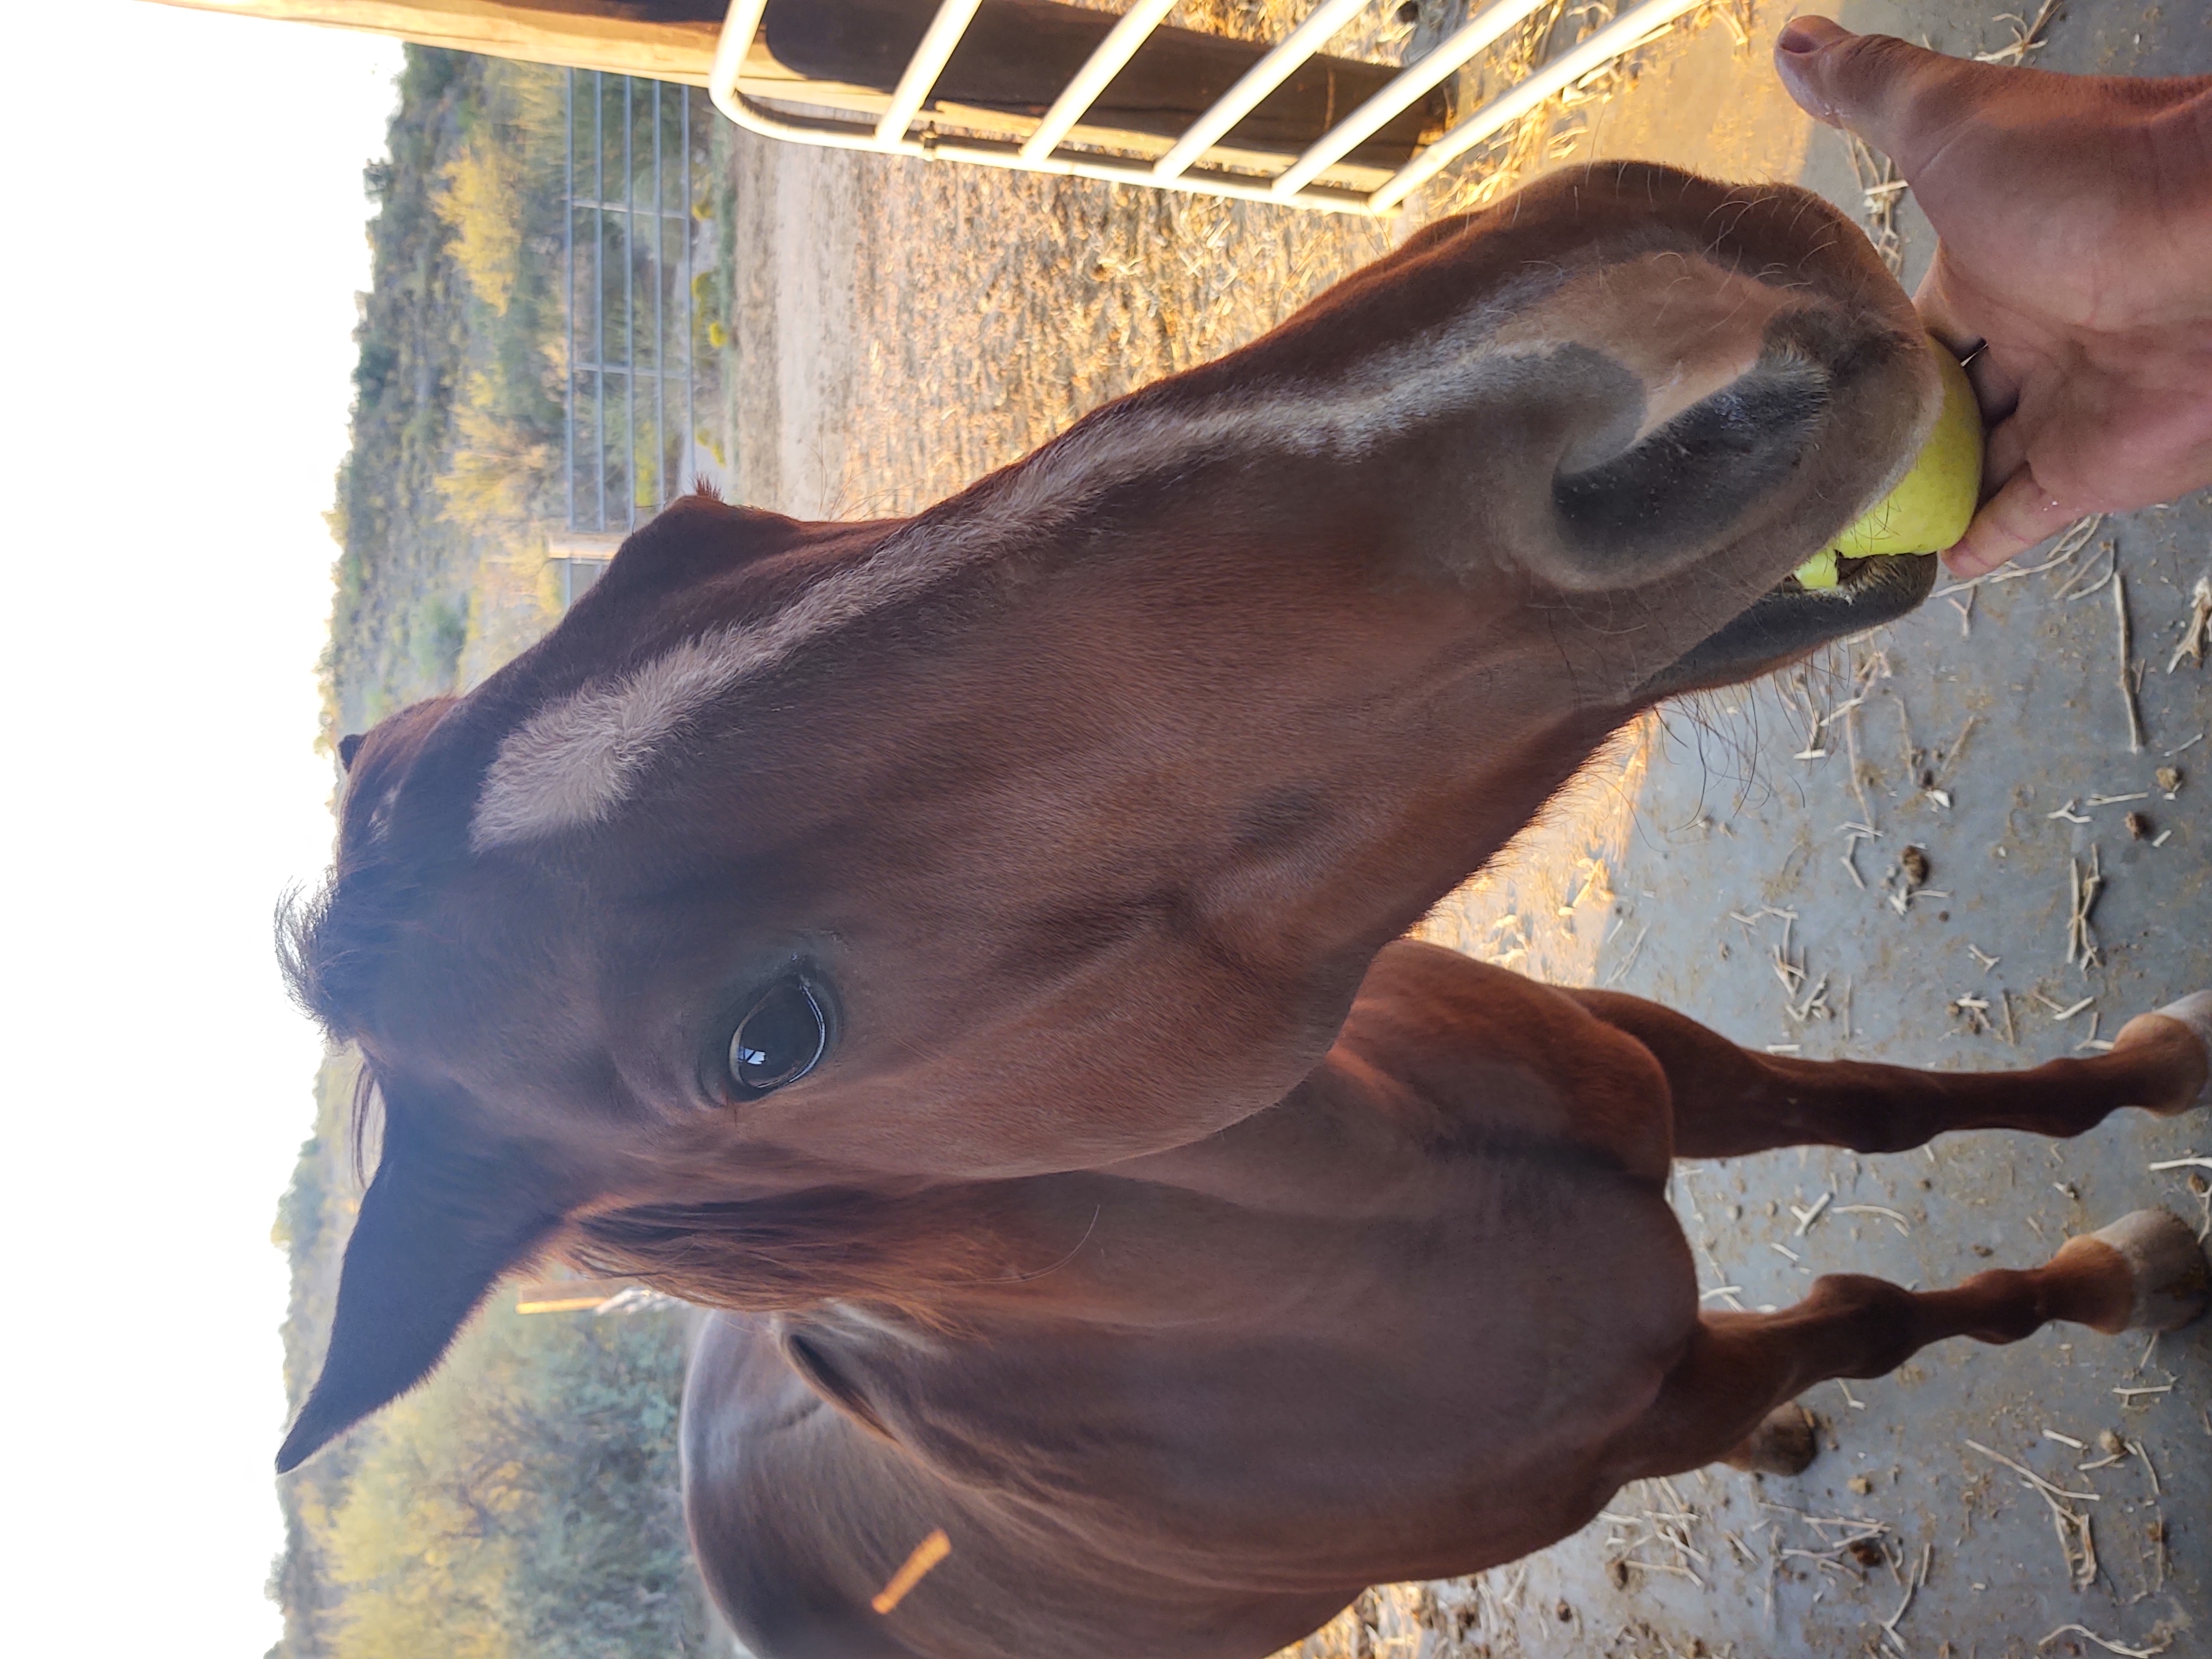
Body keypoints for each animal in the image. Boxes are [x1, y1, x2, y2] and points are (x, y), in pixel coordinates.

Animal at [277, 162, 2211, 1659]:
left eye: (701, 531)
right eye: (766, 1037)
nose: (1648, 300)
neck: (1388, 1216)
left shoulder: (1649, 1057)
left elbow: (1882, 1107)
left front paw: (2161, 1088)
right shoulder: (1659, 1400)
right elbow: (1885, 1310)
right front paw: (2134, 1270)